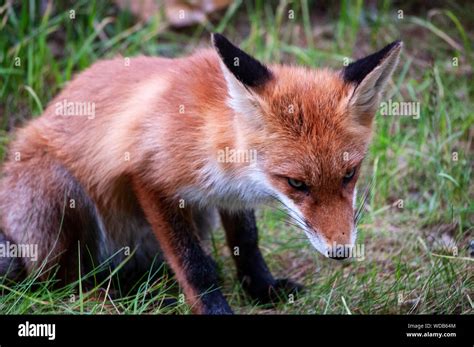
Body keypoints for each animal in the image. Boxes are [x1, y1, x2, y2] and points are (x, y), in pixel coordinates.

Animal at [0, 34, 400, 314]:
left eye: (349, 174)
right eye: (296, 184)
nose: (341, 252)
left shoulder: (232, 195)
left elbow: (247, 242)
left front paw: (262, 288)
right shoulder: (149, 177)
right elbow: (194, 264)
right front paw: (215, 309)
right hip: (60, 190)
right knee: (62, 284)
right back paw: (115, 298)